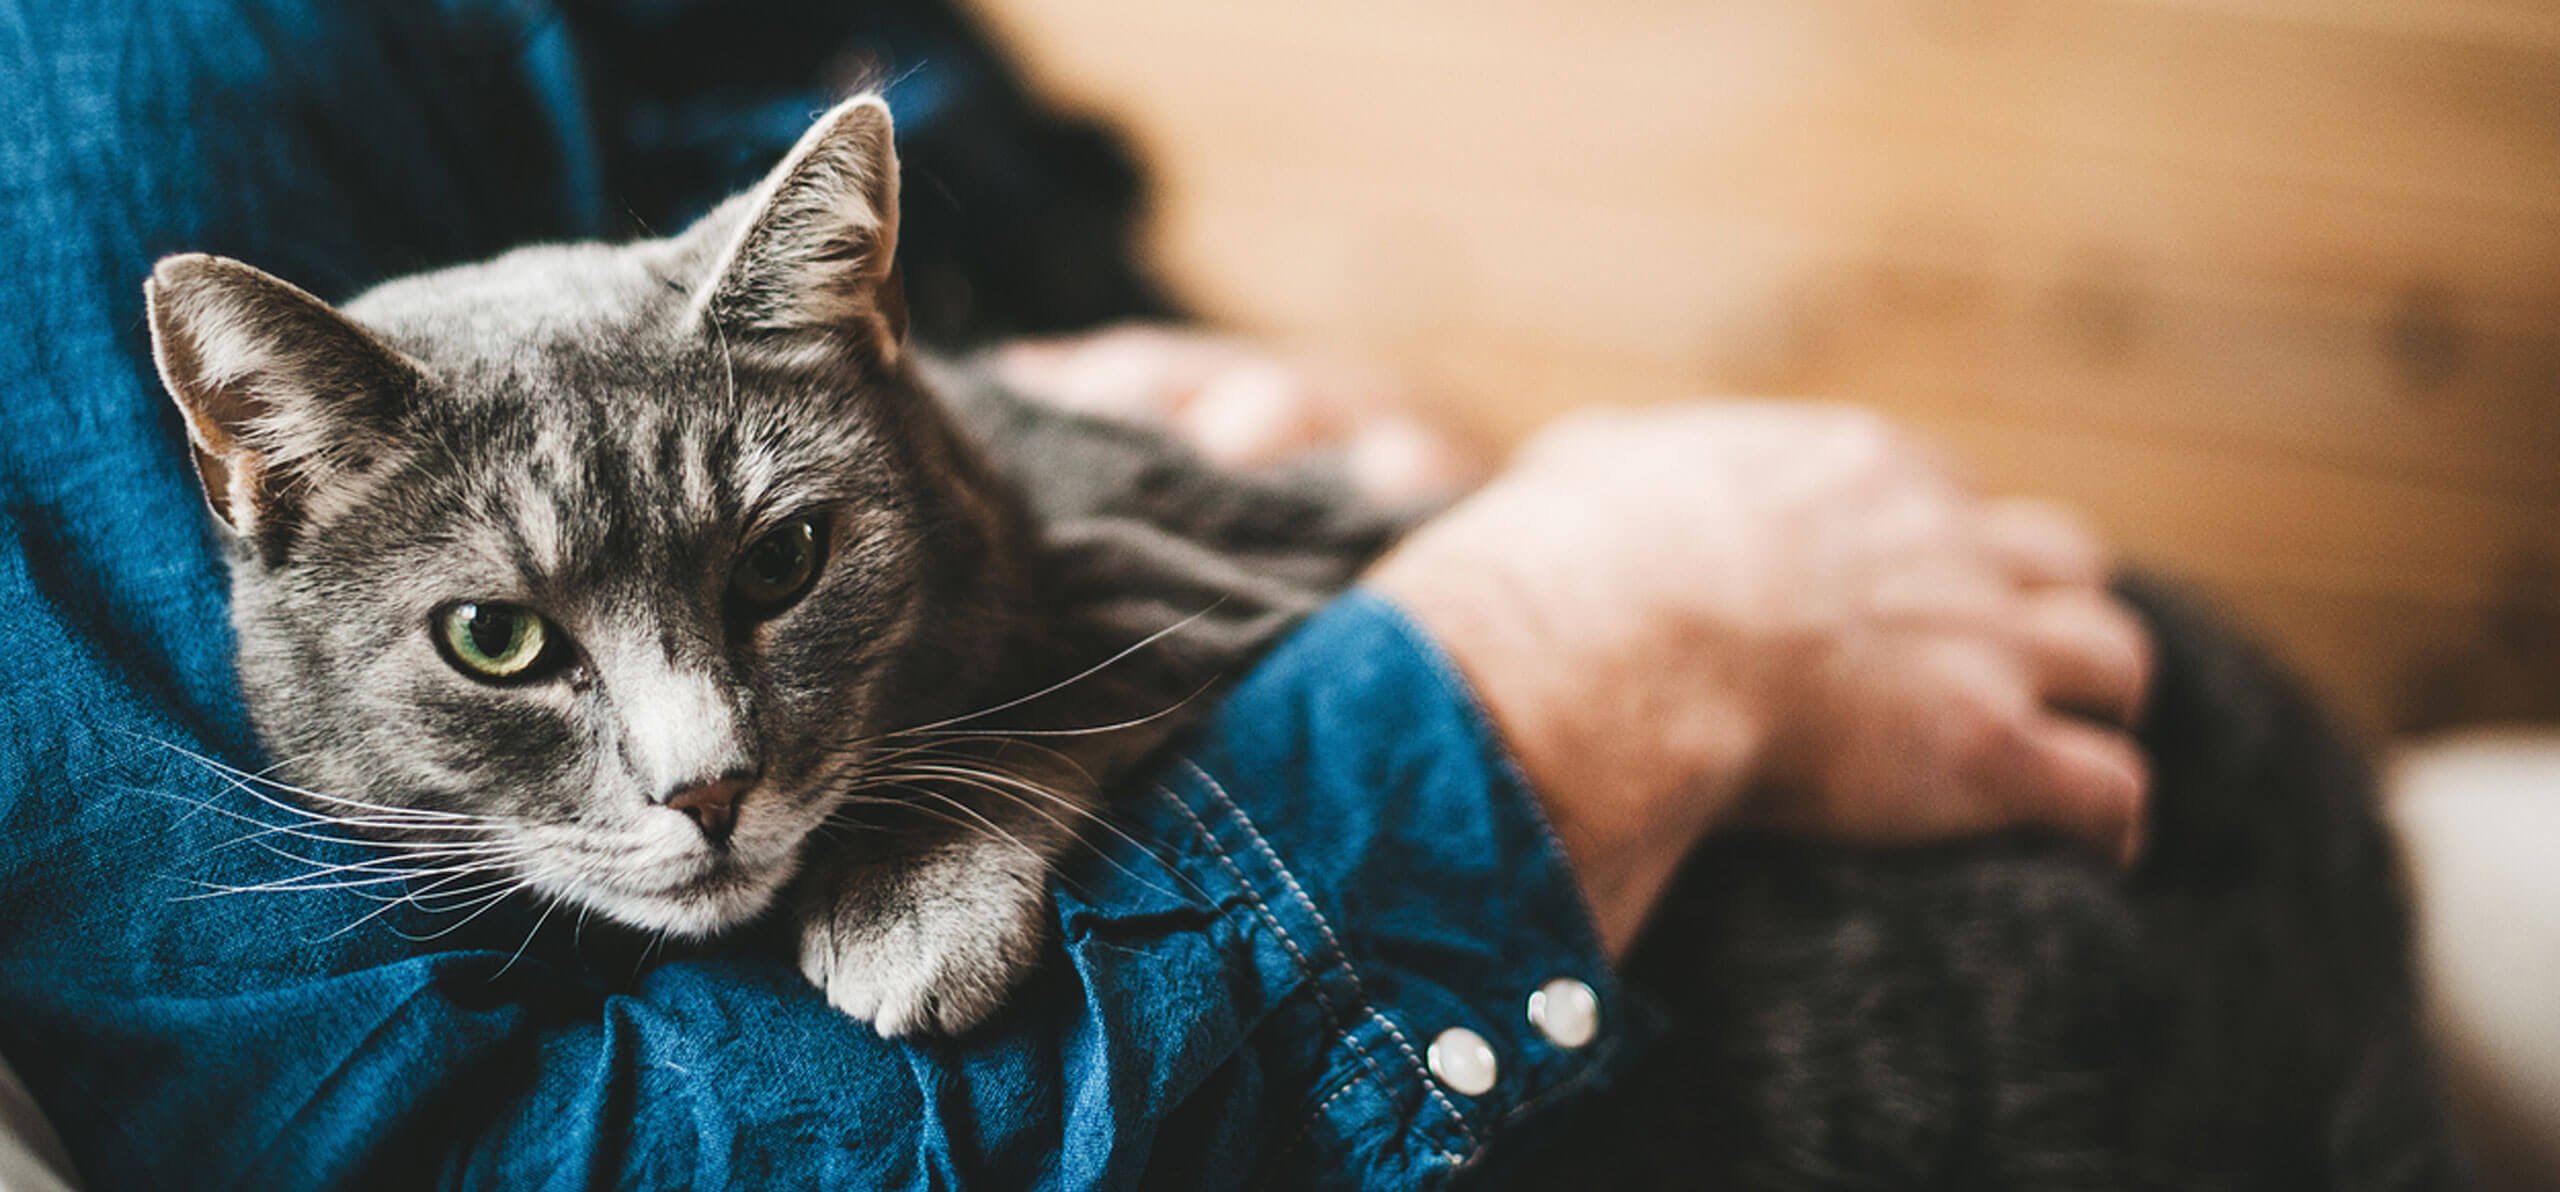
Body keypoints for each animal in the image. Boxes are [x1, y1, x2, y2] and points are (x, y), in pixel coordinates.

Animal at [145, 97, 1382, 1038]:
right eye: (493, 637)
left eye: (782, 560)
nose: (706, 788)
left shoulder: (1232, 556)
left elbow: (1044, 691)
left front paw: (910, 910)